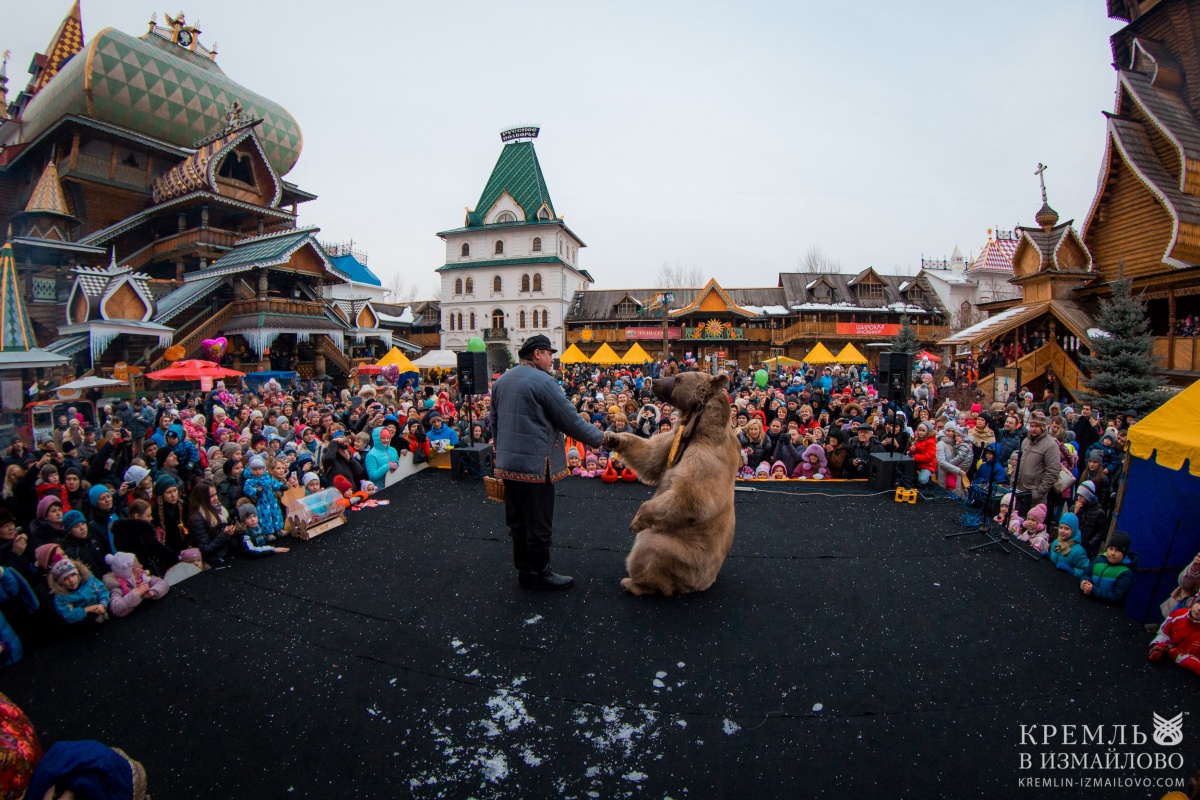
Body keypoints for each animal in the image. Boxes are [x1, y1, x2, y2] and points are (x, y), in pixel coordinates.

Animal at [600, 371, 739, 594]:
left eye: (678, 377)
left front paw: (636, 521)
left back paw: (634, 582)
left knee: (651, 549)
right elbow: (651, 457)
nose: (654, 381)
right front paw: (612, 437)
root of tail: (704, 583)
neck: (698, 430)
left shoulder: (705, 459)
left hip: (687, 555)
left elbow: (690, 497)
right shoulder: (674, 441)